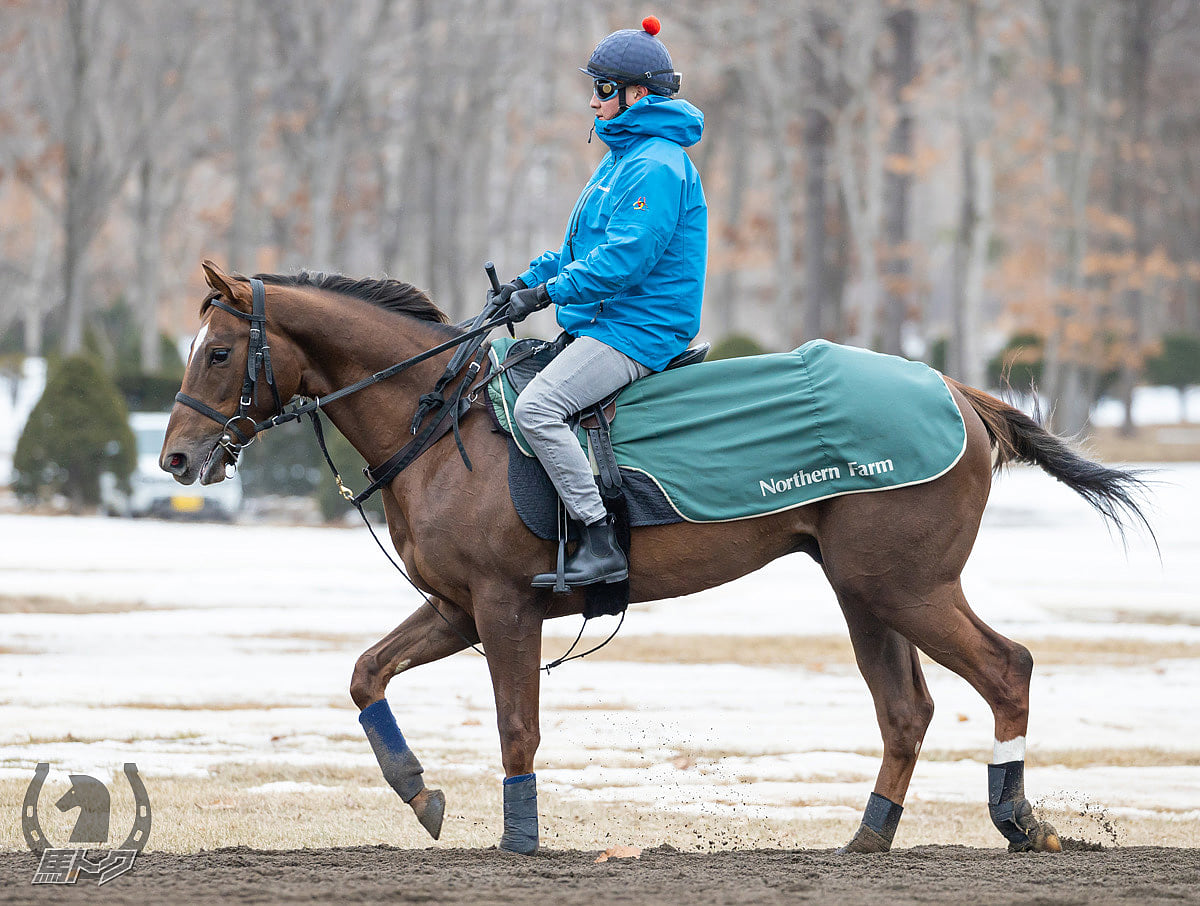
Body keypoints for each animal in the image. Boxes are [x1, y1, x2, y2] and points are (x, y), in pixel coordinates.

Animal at [162, 264, 1152, 859]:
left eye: (219, 352)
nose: (175, 459)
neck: (443, 424)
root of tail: (956, 390)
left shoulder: (503, 607)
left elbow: (515, 727)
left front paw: (518, 841)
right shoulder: (453, 609)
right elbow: (367, 673)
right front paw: (417, 791)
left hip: (906, 586)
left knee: (1006, 667)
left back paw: (1017, 819)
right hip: (864, 591)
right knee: (906, 709)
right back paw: (870, 838)